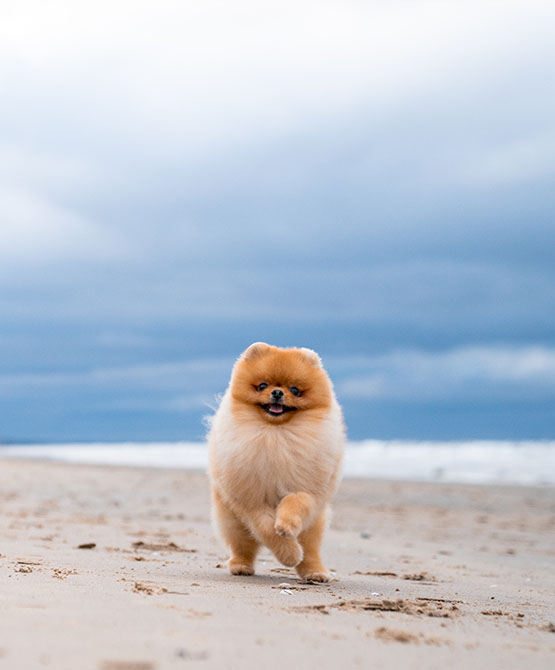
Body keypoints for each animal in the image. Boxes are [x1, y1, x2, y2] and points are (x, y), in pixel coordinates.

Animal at [210, 342, 346, 584]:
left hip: (314, 524)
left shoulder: (308, 489)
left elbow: (296, 502)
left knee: (310, 550)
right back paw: (241, 566)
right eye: (262, 385)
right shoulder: (252, 501)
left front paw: (286, 525)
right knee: (242, 546)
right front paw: (289, 554)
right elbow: (266, 530)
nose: (277, 392)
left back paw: (315, 572)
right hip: (232, 520)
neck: (277, 435)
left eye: (295, 390)